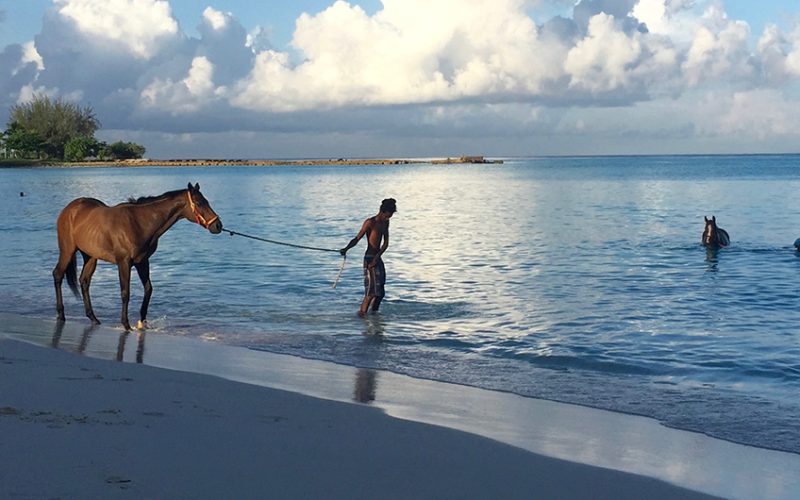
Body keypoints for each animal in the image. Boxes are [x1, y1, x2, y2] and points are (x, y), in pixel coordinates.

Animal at [53, 183, 222, 331]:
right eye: (199, 203)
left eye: (206, 201)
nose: (218, 226)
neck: (139, 223)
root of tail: (69, 209)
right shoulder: (124, 262)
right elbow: (125, 293)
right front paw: (126, 324)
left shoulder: (143, 262)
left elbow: (148, 289)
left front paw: (142, 322)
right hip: (67, 251)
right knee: (58, 275)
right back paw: (61, 315)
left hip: (90, 256)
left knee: (84, 281)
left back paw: (93, 318)